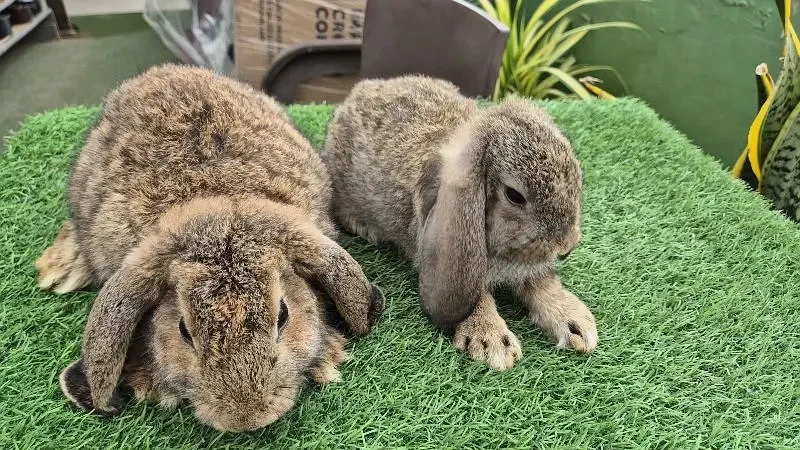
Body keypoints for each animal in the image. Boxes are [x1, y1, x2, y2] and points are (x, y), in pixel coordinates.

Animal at [34, 64, 384, 432]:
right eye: (183, 330)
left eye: (283, 315)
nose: (246, 417)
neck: (214, 202)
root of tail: (165, 71)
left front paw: (326, 357)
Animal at [323, 76, 596, 371]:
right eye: (514, 195)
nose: (566, 247)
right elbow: (478, 297)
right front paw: (492, 343)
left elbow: (541, 283)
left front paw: (577, 323)